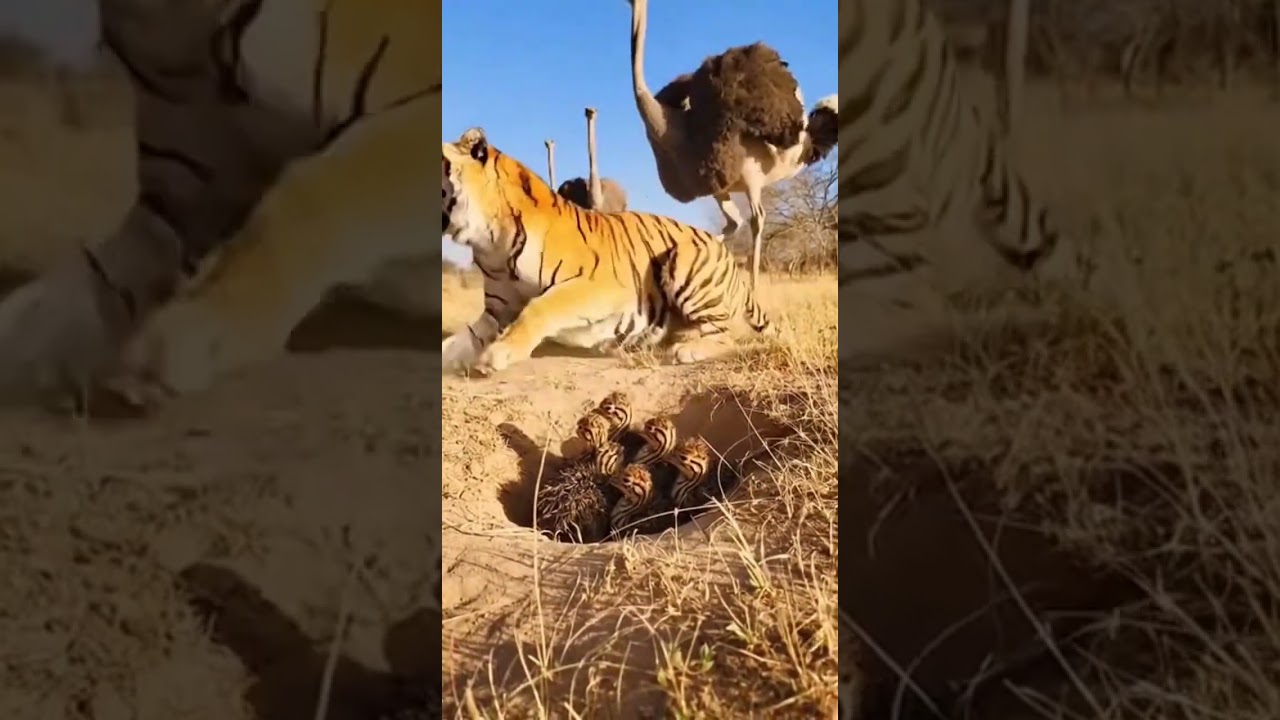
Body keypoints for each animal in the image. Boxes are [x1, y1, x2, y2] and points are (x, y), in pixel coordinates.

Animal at [441, 127, 776, 377]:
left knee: (729, 332)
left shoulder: (600, 285)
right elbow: (465, 336)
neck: (489, 241)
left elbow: (540, 306)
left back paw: (687, 348)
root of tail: (733, 265)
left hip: (683, 257)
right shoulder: (496, 310)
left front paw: (498, 353)